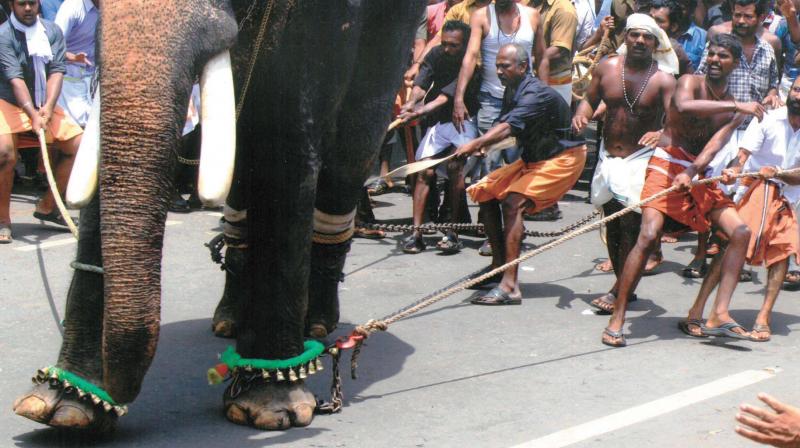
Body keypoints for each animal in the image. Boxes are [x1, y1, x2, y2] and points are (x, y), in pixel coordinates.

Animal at [12, 0, 424, 434]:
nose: (120, 391)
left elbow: (287, 142)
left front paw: (269, 405)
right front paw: (66, 405)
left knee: (348, 159)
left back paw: (317, 325)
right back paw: (229, 322)